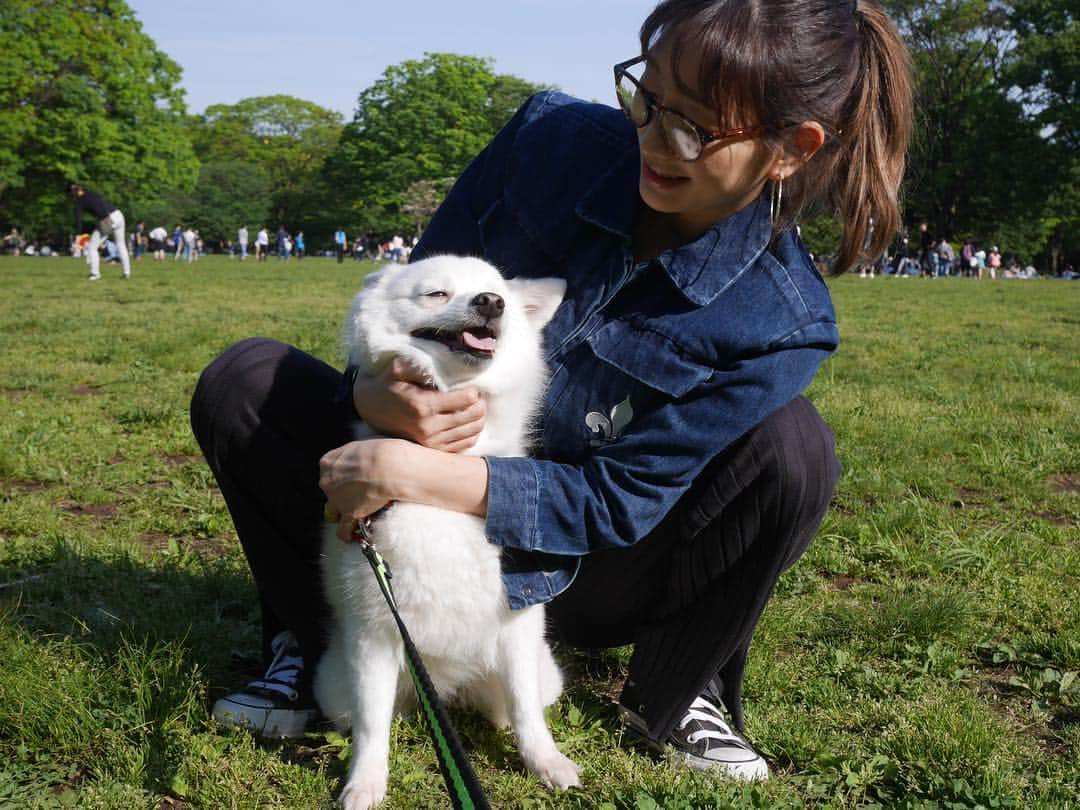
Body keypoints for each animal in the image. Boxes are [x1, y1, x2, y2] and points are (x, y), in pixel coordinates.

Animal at [315, 257, 583, 810]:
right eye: (437, 294)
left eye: (496, 293)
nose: (490, 303)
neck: (440, 467)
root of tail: (449, 689)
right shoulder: (374, 633)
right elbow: (372, 728)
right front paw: (365, 783)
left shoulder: (519, 625)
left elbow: (527, 711)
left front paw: (545, 762)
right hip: (335, 686)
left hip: (536, 674)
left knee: (511, 707)